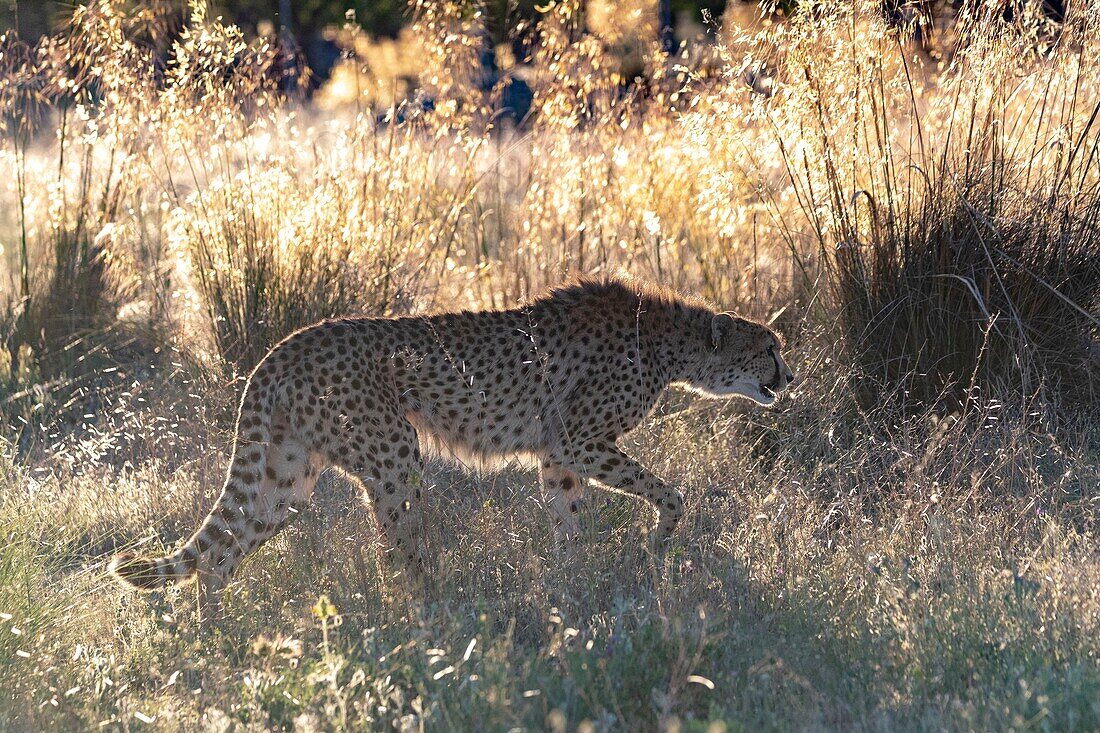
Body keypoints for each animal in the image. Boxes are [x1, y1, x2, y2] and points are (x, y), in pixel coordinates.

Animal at [111, 275, 796, 616]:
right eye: (768, 349)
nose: (788, 378)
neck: (669, 341)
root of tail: (285, 343)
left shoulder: (560, 458)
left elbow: (569, 524)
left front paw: (571, 588)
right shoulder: (578, 442)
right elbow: (669, 494)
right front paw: (655, 543)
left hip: (287, 478)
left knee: (221, 555)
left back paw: (213, 635)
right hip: (395, 457)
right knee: (403, 552)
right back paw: (437, 617)